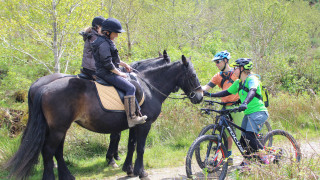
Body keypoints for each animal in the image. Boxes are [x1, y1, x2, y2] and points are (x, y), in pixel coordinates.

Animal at [6, 55, 202, 179]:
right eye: (193, 75)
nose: (199, 97)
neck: (148, 87)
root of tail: (43, 87)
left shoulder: (134, 124)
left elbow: (131, 145)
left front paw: (128, 169)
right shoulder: (144, 125)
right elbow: (140, 147)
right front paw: (141, 172)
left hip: (58, 128)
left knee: (57, 152)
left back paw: (67, 175)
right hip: (58, 129)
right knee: (48, 151)